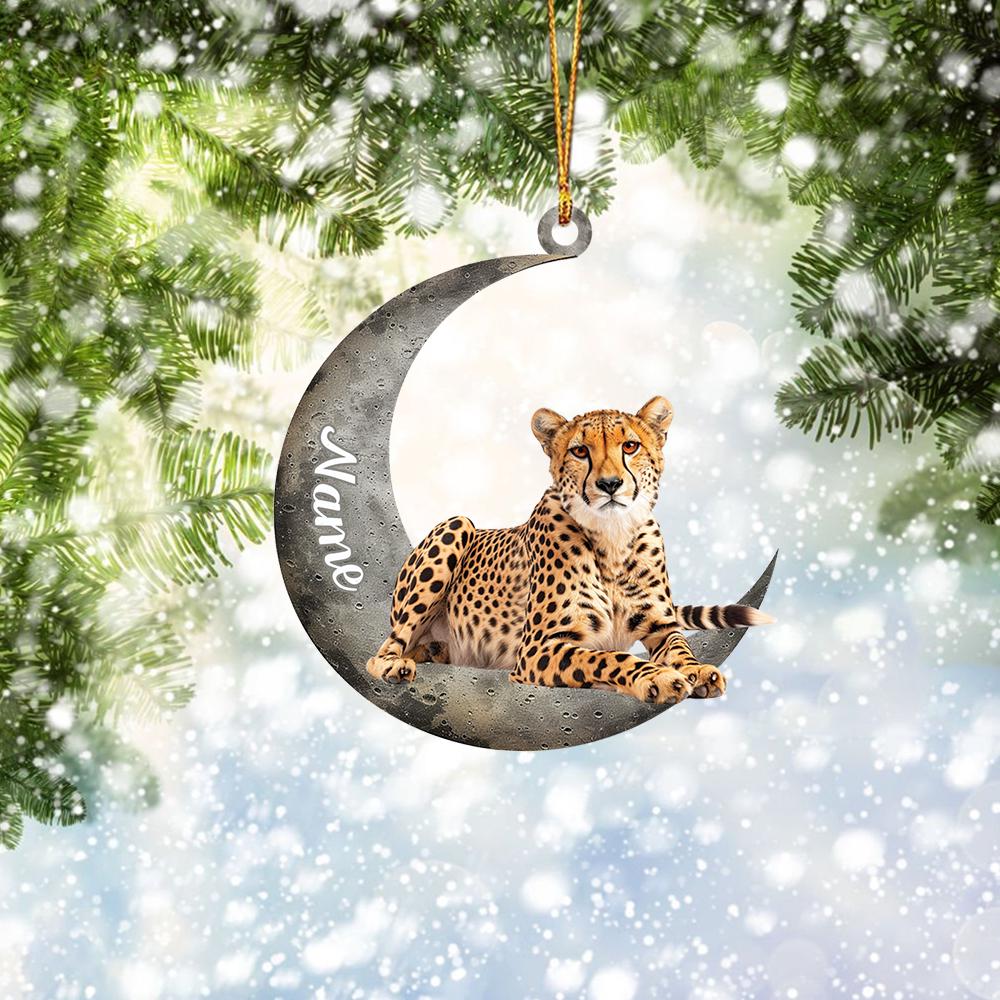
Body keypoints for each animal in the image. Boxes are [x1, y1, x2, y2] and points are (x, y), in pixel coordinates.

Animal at [367, 396, 773, 706]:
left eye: (630, 446)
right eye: (580, 451)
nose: (610, 484)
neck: (612, 538)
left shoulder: (661, 626)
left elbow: (678, 647)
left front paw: (697, 670)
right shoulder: (537, 649)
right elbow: (609, 658)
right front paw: (657, 677)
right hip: (457, 524)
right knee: (384, 650)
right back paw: (395, 666)